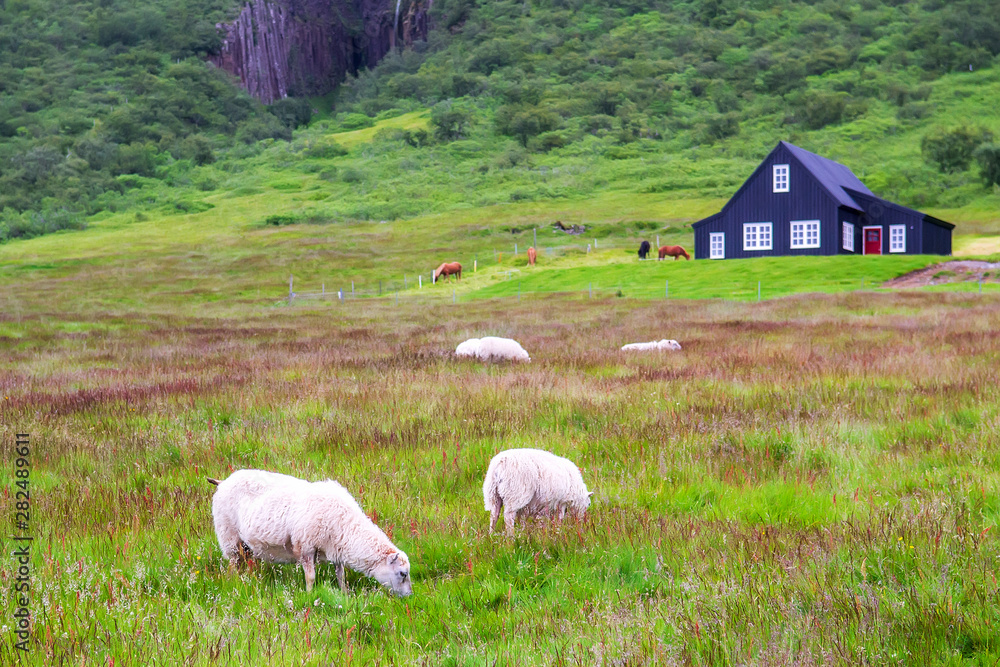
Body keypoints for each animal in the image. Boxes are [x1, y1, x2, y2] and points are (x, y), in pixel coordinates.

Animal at [208, 471, 412, 596]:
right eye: (402, 573)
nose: (410, 595)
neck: (347, 526)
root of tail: (223, 481)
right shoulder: (306, 546)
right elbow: (311, 577)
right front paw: (309, 595)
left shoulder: (335, 548)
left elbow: (341, 576)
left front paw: (344, 594)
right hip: (229, 536)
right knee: (233, 564)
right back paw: (234, 582)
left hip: (244, 544)